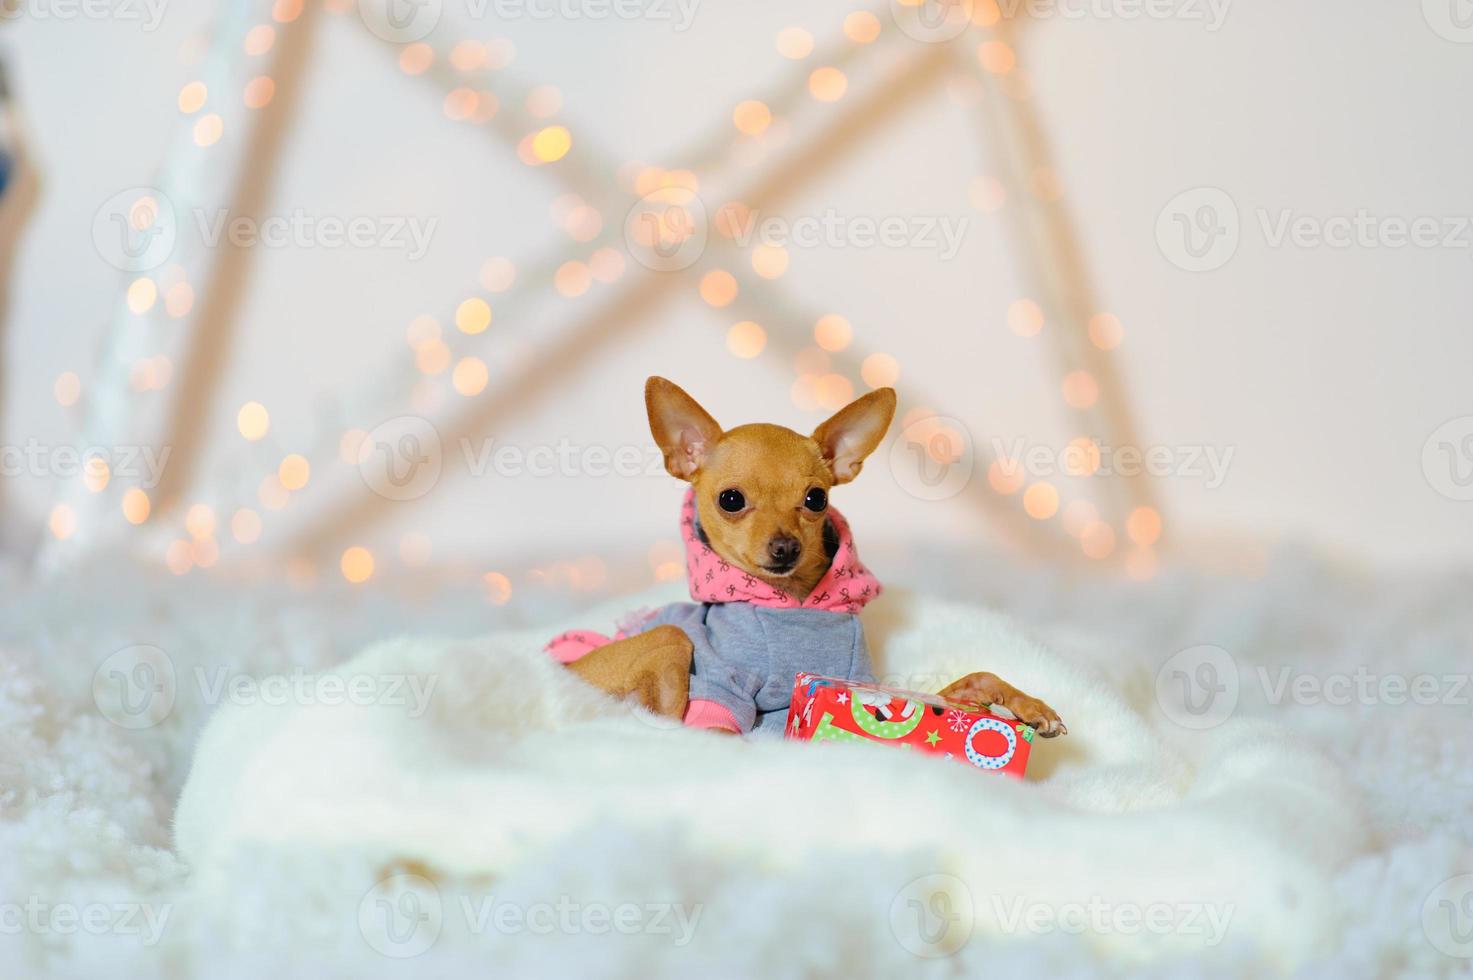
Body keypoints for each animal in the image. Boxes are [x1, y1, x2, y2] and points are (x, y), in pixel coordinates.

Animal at [559, 374, 1060, 733]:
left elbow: (976, 678)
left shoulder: (862, 682)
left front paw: (1029, 705)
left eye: (816, 499)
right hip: (669, 639)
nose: (785, 547)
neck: (794, 606)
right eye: (730, 500)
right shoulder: (719, 696)